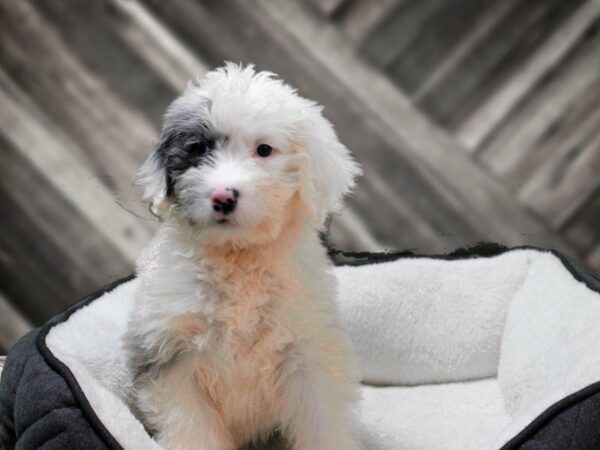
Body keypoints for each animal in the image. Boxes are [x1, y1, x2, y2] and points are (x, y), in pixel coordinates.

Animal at [123, 63, 360, 450]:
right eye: (198, 148)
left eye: (264, 150)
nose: (222, 196)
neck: (238, 258)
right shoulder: (172, 357)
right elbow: (193, 431)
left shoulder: (309, 355)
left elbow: (323, 425)